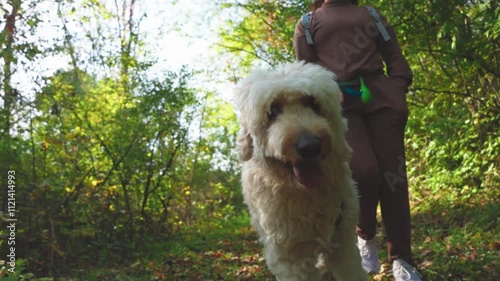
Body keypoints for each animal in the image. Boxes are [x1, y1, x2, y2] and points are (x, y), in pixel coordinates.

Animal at [233, 61, 368, 280]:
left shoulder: (343, 239)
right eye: (273, 110)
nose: (310, 146)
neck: (305, 194)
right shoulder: (290, 257)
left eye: (313, 104)